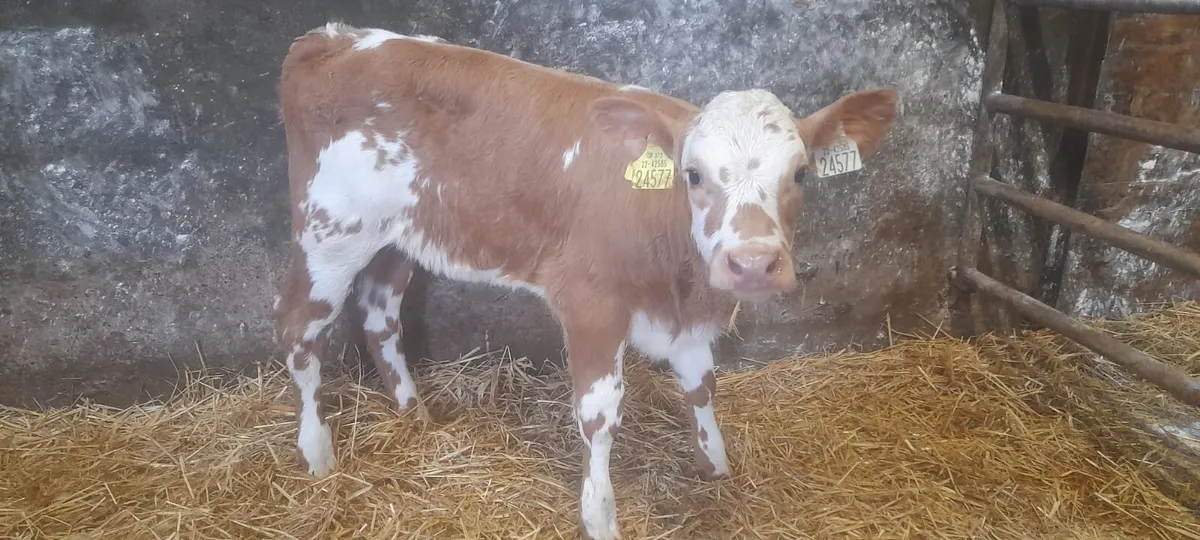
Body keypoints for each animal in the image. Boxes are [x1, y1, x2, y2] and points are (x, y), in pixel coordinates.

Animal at [274, 22, 897, 539]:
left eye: (801, 174)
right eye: (693, 175)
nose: (750, 262)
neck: (679, 282)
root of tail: (333, 37)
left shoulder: (687, 316)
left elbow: (701, 385)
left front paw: (715, 466)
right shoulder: (591, 303)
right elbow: (599, 414)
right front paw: (599, 516)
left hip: (399, 236)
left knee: (380, 314)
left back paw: (414, 415)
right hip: (330, 231)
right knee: (301, 330)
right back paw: (317, 454)